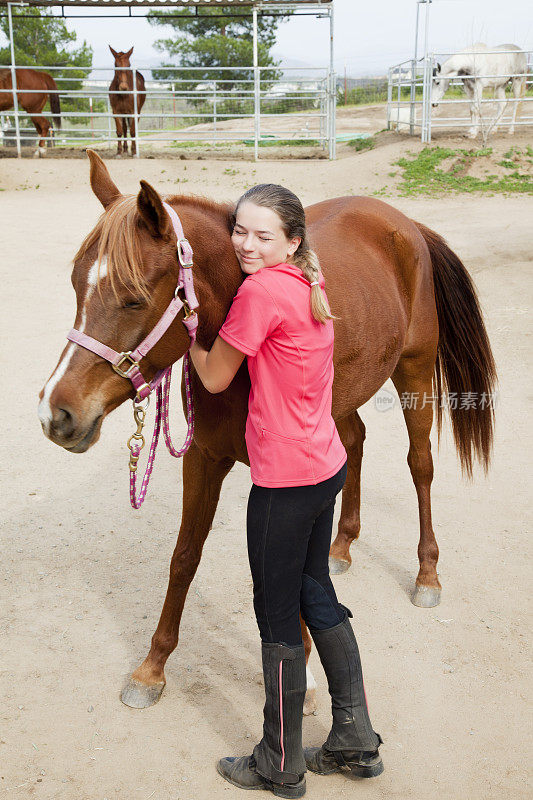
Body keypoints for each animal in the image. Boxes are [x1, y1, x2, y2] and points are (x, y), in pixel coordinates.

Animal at [38, 152, 494, 712]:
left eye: (133, 298)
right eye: (76, 284)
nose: (56, 414)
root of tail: (403, 222)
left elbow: (286, 566)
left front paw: (306, 674)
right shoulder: (205, 458)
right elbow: (184, 557)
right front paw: (152, 668)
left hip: (413, 371)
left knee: (420, 464)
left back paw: (427, 573)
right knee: (355, 443)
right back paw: (342, 546)